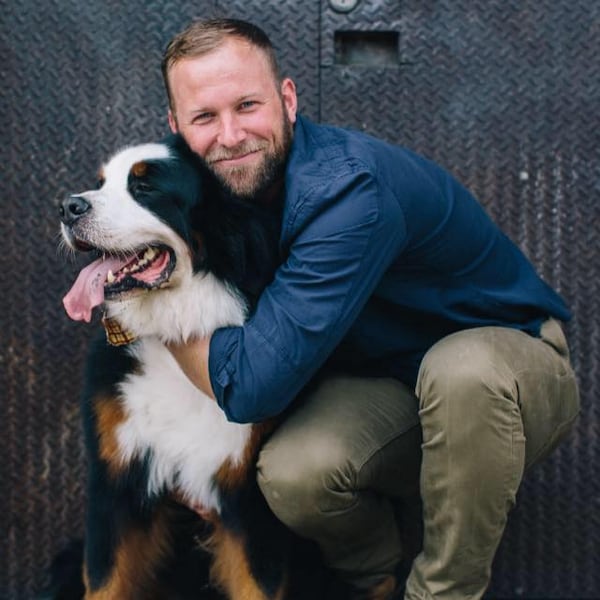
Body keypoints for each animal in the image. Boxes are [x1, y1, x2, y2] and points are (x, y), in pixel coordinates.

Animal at [54, 135, 324, 600]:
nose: (69, 207)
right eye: (100, 183)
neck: (179, 329)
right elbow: (106, 582)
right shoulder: (115, 488)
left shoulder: (251, 505)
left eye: (145, 188)